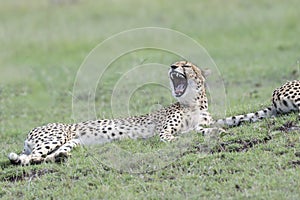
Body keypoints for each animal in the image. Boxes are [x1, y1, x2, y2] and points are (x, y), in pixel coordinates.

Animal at [8, 61, 217, 166]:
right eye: (176, 64)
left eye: (186, 65)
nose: (173, 67)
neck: (193, 104)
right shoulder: (164, 132)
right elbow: (174, 137)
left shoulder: (199, 125)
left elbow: (203, 129)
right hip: (54, 138)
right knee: (28, 159)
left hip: (71, 142)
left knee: (42, 157)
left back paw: (59, 157)